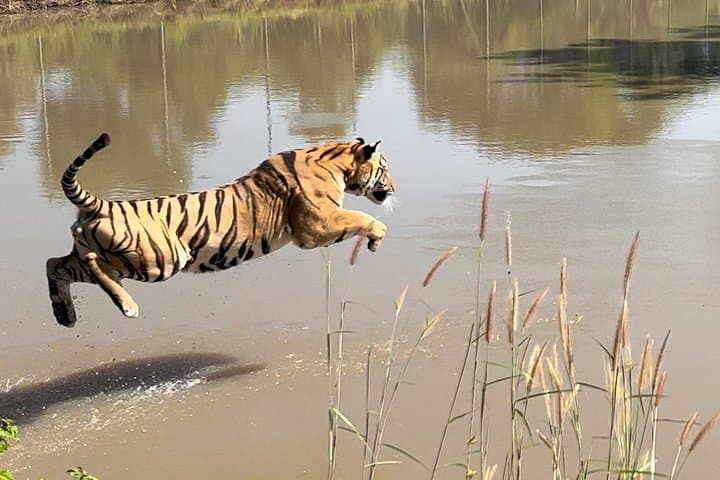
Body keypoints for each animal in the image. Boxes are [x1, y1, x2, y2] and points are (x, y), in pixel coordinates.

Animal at [46, 133, 394, 327]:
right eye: (384, 169)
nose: (392, 189)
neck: (336, 160)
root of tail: (101, 204)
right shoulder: (316, 226)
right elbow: (364, 218)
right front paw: (377, 238)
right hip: (160, 259)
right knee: (95, 263)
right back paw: (127, 306)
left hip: (97, 253)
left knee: (54, 264)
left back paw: (65, 314)